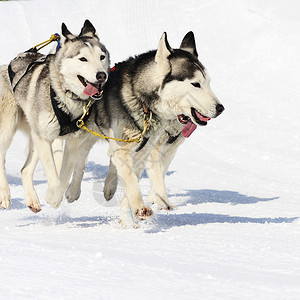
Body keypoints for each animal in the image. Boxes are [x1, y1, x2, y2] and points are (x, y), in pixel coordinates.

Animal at [0, 19, 109, 211]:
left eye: (101, 57)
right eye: (83, 59)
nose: (101, 75)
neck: (66, 97)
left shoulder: (73, 142)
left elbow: (64, 176)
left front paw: (56, 196)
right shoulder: (44, 139)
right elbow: (53, 172)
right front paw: (52, 197)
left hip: (35, 138)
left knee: (25, 170)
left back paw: (32, 200)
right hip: (10, 131)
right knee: (2, 160)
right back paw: (5, 195)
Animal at [65, 32, 223, 225]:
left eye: (208, 82)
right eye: (195, 84)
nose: (220, 108)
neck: (143, 102)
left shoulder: (146, 151)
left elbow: (134, 180)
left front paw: (128, 219)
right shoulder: (132, 148)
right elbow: (133, 180)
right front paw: (142, 207)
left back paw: (109, 186)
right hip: (87, 135)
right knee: (80, 157)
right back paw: (71, 191)